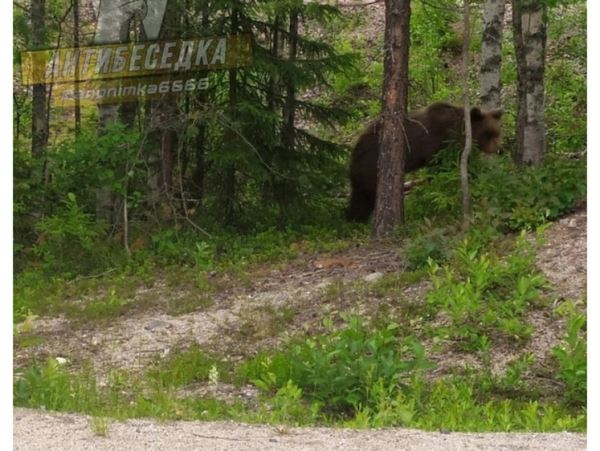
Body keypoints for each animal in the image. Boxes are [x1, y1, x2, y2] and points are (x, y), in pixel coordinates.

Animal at [346, 103, 502, 222]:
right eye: (488, 134)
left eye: (497, 132)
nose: (499, 149)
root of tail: (354, 148)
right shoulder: (437, 145)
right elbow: (440, 169)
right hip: (370, 164)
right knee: (367, 194)